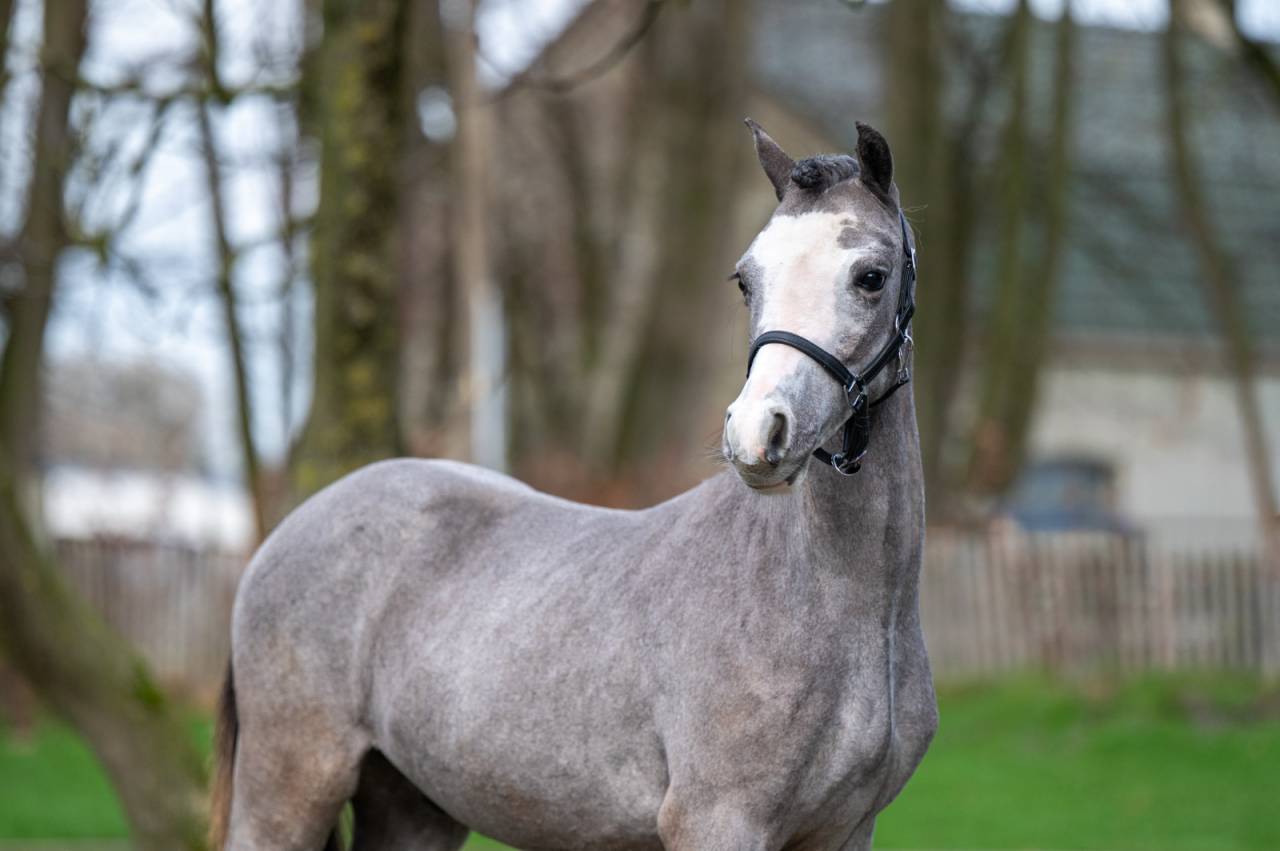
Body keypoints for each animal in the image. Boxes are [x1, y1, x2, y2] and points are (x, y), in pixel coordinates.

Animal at [210, 119, 936, 851]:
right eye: (745, 280)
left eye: (870, 277)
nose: (758, 434)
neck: (840, 607)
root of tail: (287, 534)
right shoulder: (718, 821)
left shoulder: (847, 831)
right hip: (288, 794)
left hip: (411, 806)